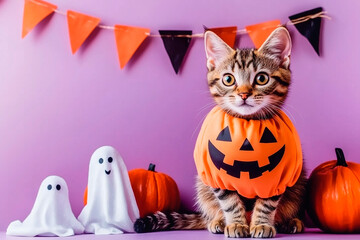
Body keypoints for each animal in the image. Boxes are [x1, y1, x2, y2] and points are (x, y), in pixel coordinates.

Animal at [134, 27, 306, 237]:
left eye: (262, 78)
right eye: (228, 79)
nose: (243, 94)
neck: (247, 123)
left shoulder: (279, 176)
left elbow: (267, 203)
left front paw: (262, 224)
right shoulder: (215, 174)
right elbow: (230, 202)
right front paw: (236, 223)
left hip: (299, 180)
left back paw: (289, 222)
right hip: (202, 183)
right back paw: (218, 221)